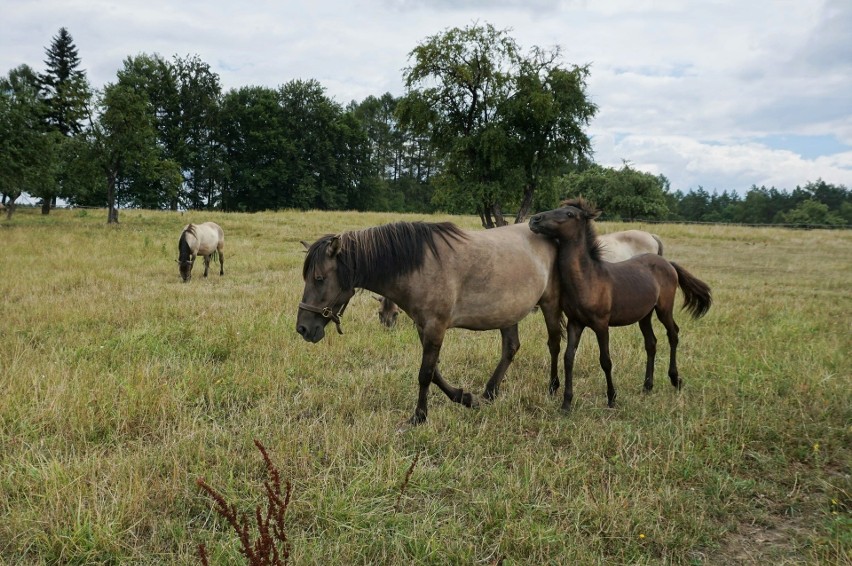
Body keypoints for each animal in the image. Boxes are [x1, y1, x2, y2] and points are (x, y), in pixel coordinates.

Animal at [294, 222, 564, 426]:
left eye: (319, 278)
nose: (303, 329)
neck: (420, 266)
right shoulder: (423, 327)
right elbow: (434, 371)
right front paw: (465, 398)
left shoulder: (436, 327)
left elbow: (425, 374)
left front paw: (419, 417)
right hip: (507, 312)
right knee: (510, 348)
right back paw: (489, 393)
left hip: (550, 303)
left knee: (554, 344)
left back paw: (553, 388)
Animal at [528, 200, 708, 412]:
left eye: (570, 214)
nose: (534, 219)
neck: (588, 279)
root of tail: (668, 263)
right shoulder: (575, 323)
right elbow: (568, 358)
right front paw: (566, 403)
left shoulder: (601, 325)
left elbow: (605, 361)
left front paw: (612, 398)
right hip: (645, 315)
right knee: (651, 343)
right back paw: (647, 386)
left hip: (664, 309)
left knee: (673, 334)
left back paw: (675, 380)